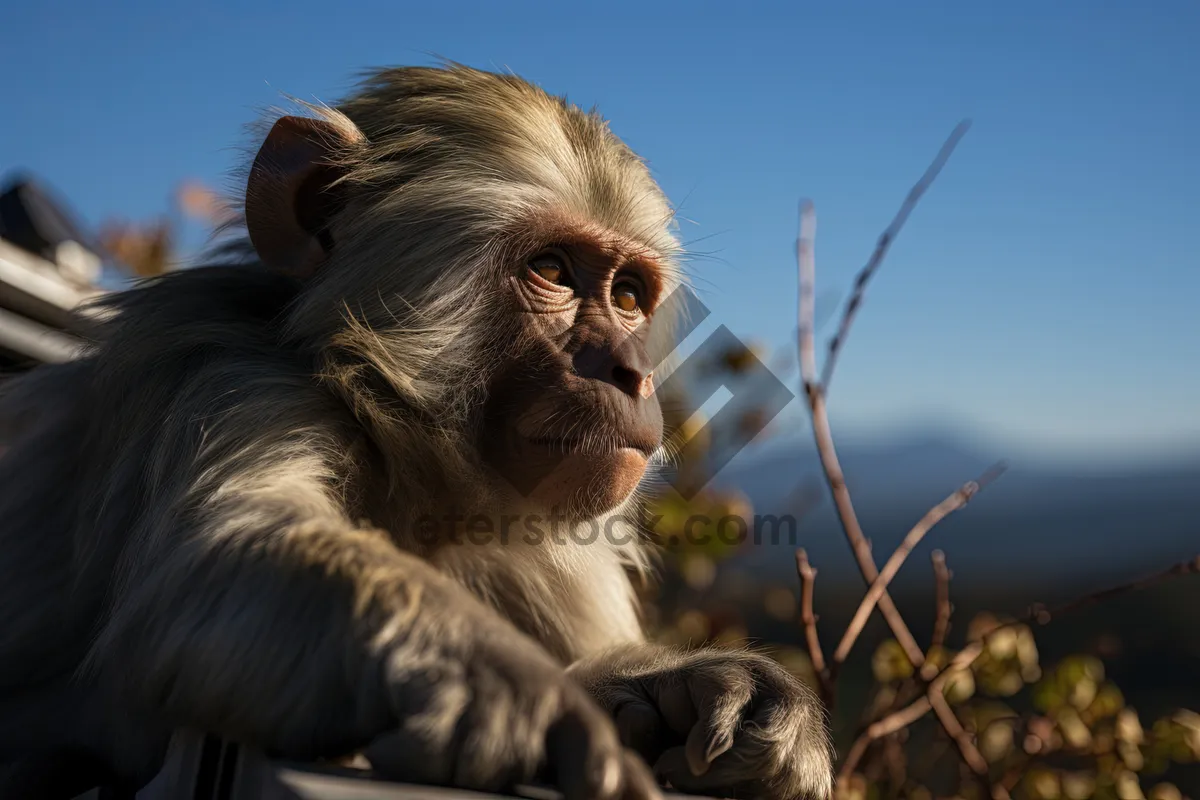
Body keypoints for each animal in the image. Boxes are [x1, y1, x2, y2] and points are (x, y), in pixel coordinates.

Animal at [0, 64, 830, 800]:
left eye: (628, 295)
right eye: (554, 270)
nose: (631, 371)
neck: (405, 463)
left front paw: (688, 688)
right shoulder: (227, 374)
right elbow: (216, 559)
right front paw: (509, 689)